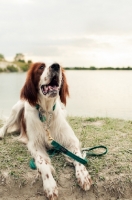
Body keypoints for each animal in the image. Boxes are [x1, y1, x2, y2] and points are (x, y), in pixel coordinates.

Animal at [0, 62, 91, 198]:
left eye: (59, 66)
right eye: (41, 67)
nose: (56, 66)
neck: (47, 112)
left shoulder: (71, 139)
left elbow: (77, 156)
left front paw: (83, 175)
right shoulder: (34, 144)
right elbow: (43, 163)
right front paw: (50, 185)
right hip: (17, 108)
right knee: (6, 124)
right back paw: (1, 133)